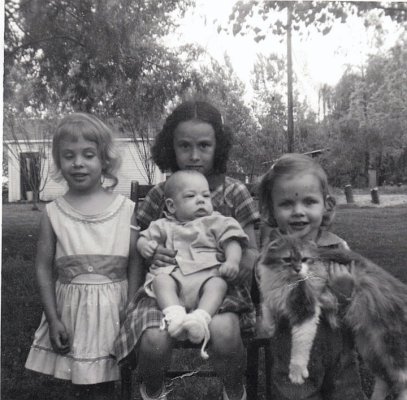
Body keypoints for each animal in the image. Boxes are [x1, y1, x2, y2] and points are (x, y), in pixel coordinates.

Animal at [258, 234, 407, 400]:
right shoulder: (270, 294)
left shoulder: (306, 309)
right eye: (287, 259)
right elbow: (266, 308)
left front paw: (296, 373)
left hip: (390, 345)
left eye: (304, 259)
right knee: (385, 379)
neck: (281, 278)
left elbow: (300, 346)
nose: (298, 270)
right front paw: (269, 327)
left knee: (402, 380)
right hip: (370, 349)